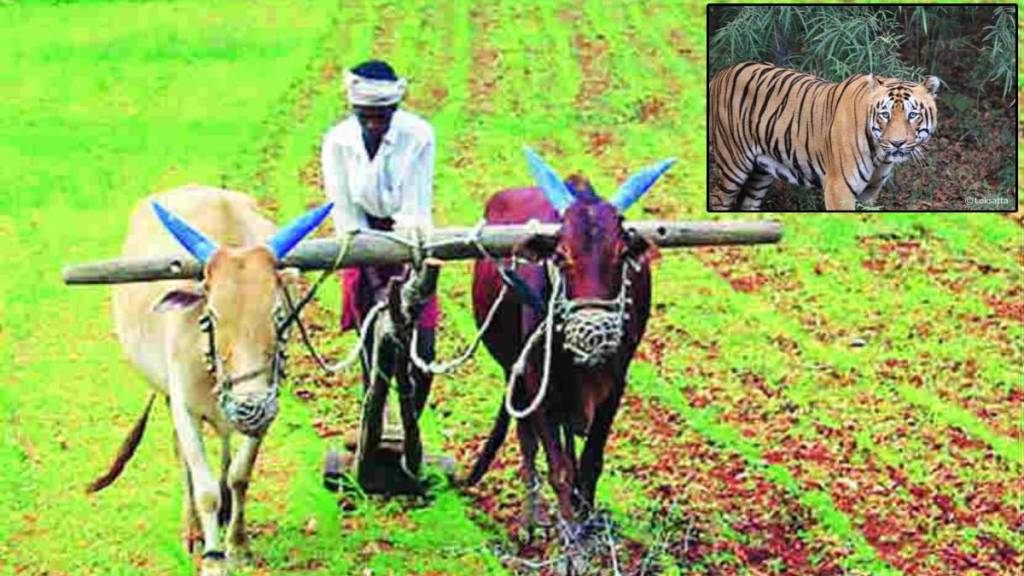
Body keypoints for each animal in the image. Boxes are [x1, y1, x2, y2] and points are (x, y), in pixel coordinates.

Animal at [708, 61, 937, 210]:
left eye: (912, 115)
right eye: (885, 115)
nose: (897, 143)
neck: (880, 157)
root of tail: (721, 72)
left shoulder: (870, 193)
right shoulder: (839, 188)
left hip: (761, 171)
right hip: (733, 164)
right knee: (718, 199)